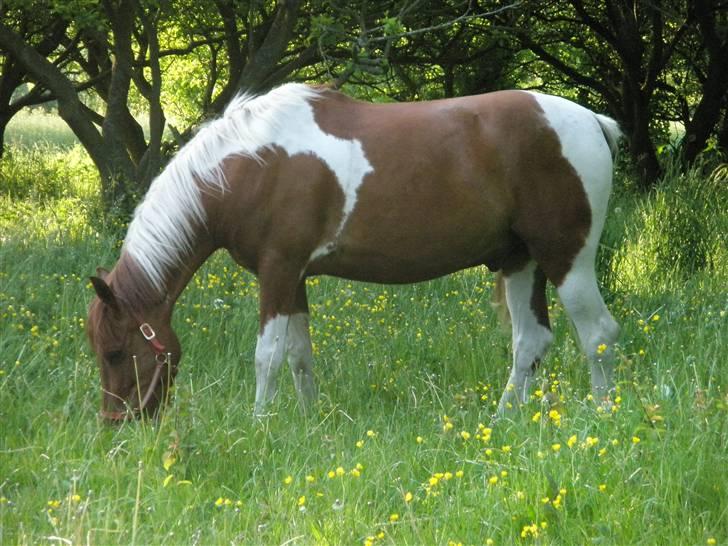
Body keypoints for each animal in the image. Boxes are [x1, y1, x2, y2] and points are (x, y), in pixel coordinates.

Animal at [85, 82, 620, 420]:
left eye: (115, 352)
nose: (117, 423)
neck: (251, 165)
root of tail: (593, 121)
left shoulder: (277, 271)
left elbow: (267, 356)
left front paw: (259, 425)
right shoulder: (295, 278)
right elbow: (299, 355)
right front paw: (308, 422)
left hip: (566, 258)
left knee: (597, 334)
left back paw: (602, 419)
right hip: (520, 261)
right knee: (531, 343)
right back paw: (502, 422)